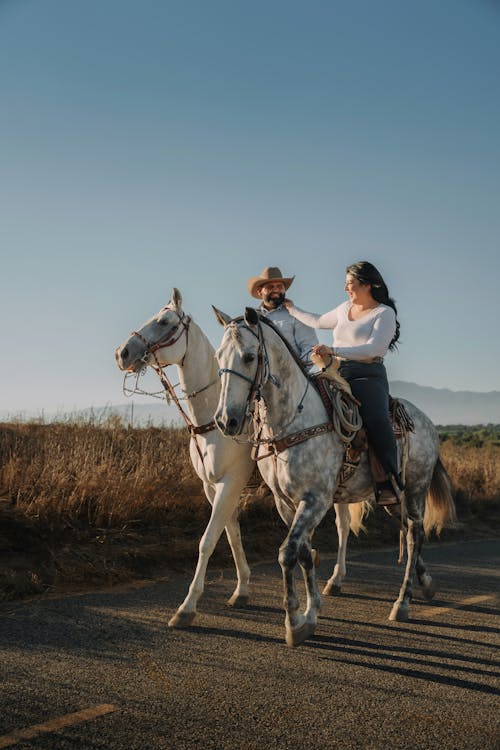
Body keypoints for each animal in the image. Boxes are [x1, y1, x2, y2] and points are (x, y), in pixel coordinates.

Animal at [213, 308, 456, 648]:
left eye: (249, 357)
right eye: (218, 355)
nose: (226, 420)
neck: (294, 421)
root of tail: (428, 423)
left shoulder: (316, 499)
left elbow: (288, 553)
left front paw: (294, 623)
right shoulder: (286, 502)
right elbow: (304, 552)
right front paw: (312, 611)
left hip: (416, 489)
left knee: (414, 535)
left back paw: (402, 603)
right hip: (393, 497)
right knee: (410, 531)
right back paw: (427, 583)